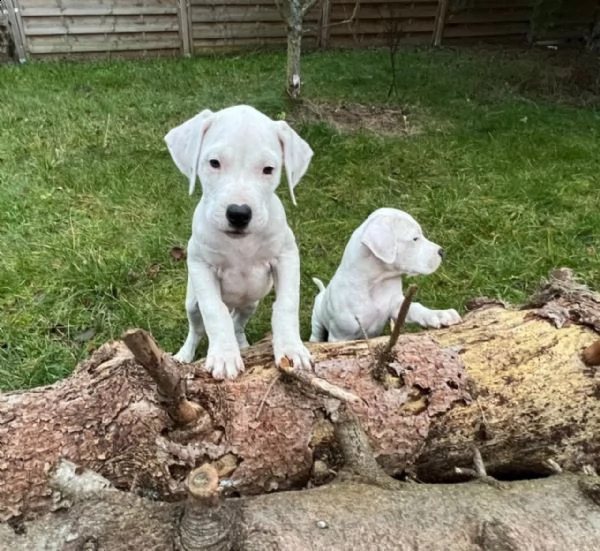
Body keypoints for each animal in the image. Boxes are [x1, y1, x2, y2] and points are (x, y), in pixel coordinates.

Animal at [164, 103, 314, 380]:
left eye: (268, 169)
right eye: (214, 163)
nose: (239, 213)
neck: (240, 244)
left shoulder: (287, 256)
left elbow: (287, 305)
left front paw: (291, 349)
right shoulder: (200, 264)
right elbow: (215, 312)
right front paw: (224, 356)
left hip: (250, 304)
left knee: (238, 322)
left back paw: (243, 344)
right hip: (192, 303)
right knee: (197, 328)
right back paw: (184, 355)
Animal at [312, 209, 462, 342]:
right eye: (415, 239)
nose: (442, 251)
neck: (376, 283)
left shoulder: (397, 306)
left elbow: (415, 307)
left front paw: (440, 314)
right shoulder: (340, 336)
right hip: (317, 318)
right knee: (316, 333)